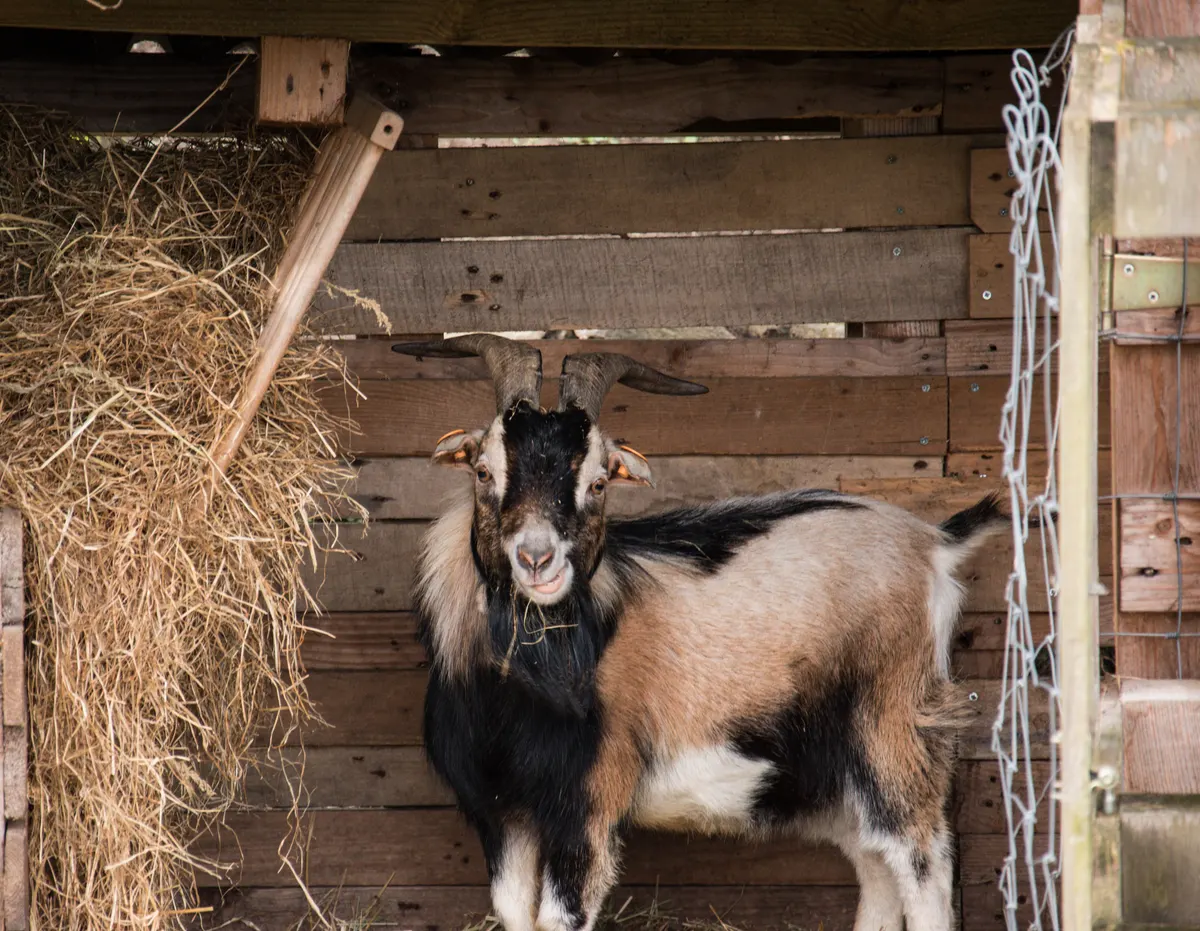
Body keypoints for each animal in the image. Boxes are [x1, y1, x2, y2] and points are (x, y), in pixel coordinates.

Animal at [391, 333, 1003, 931]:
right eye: (483, 471)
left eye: (598, 483)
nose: (538, 560)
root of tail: (934, 543)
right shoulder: (502, 812)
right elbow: (514, 911)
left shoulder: (589, 802)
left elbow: (560, 916)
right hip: (832, 773)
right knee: (876, 865)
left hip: (894, 732)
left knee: (923, 865)